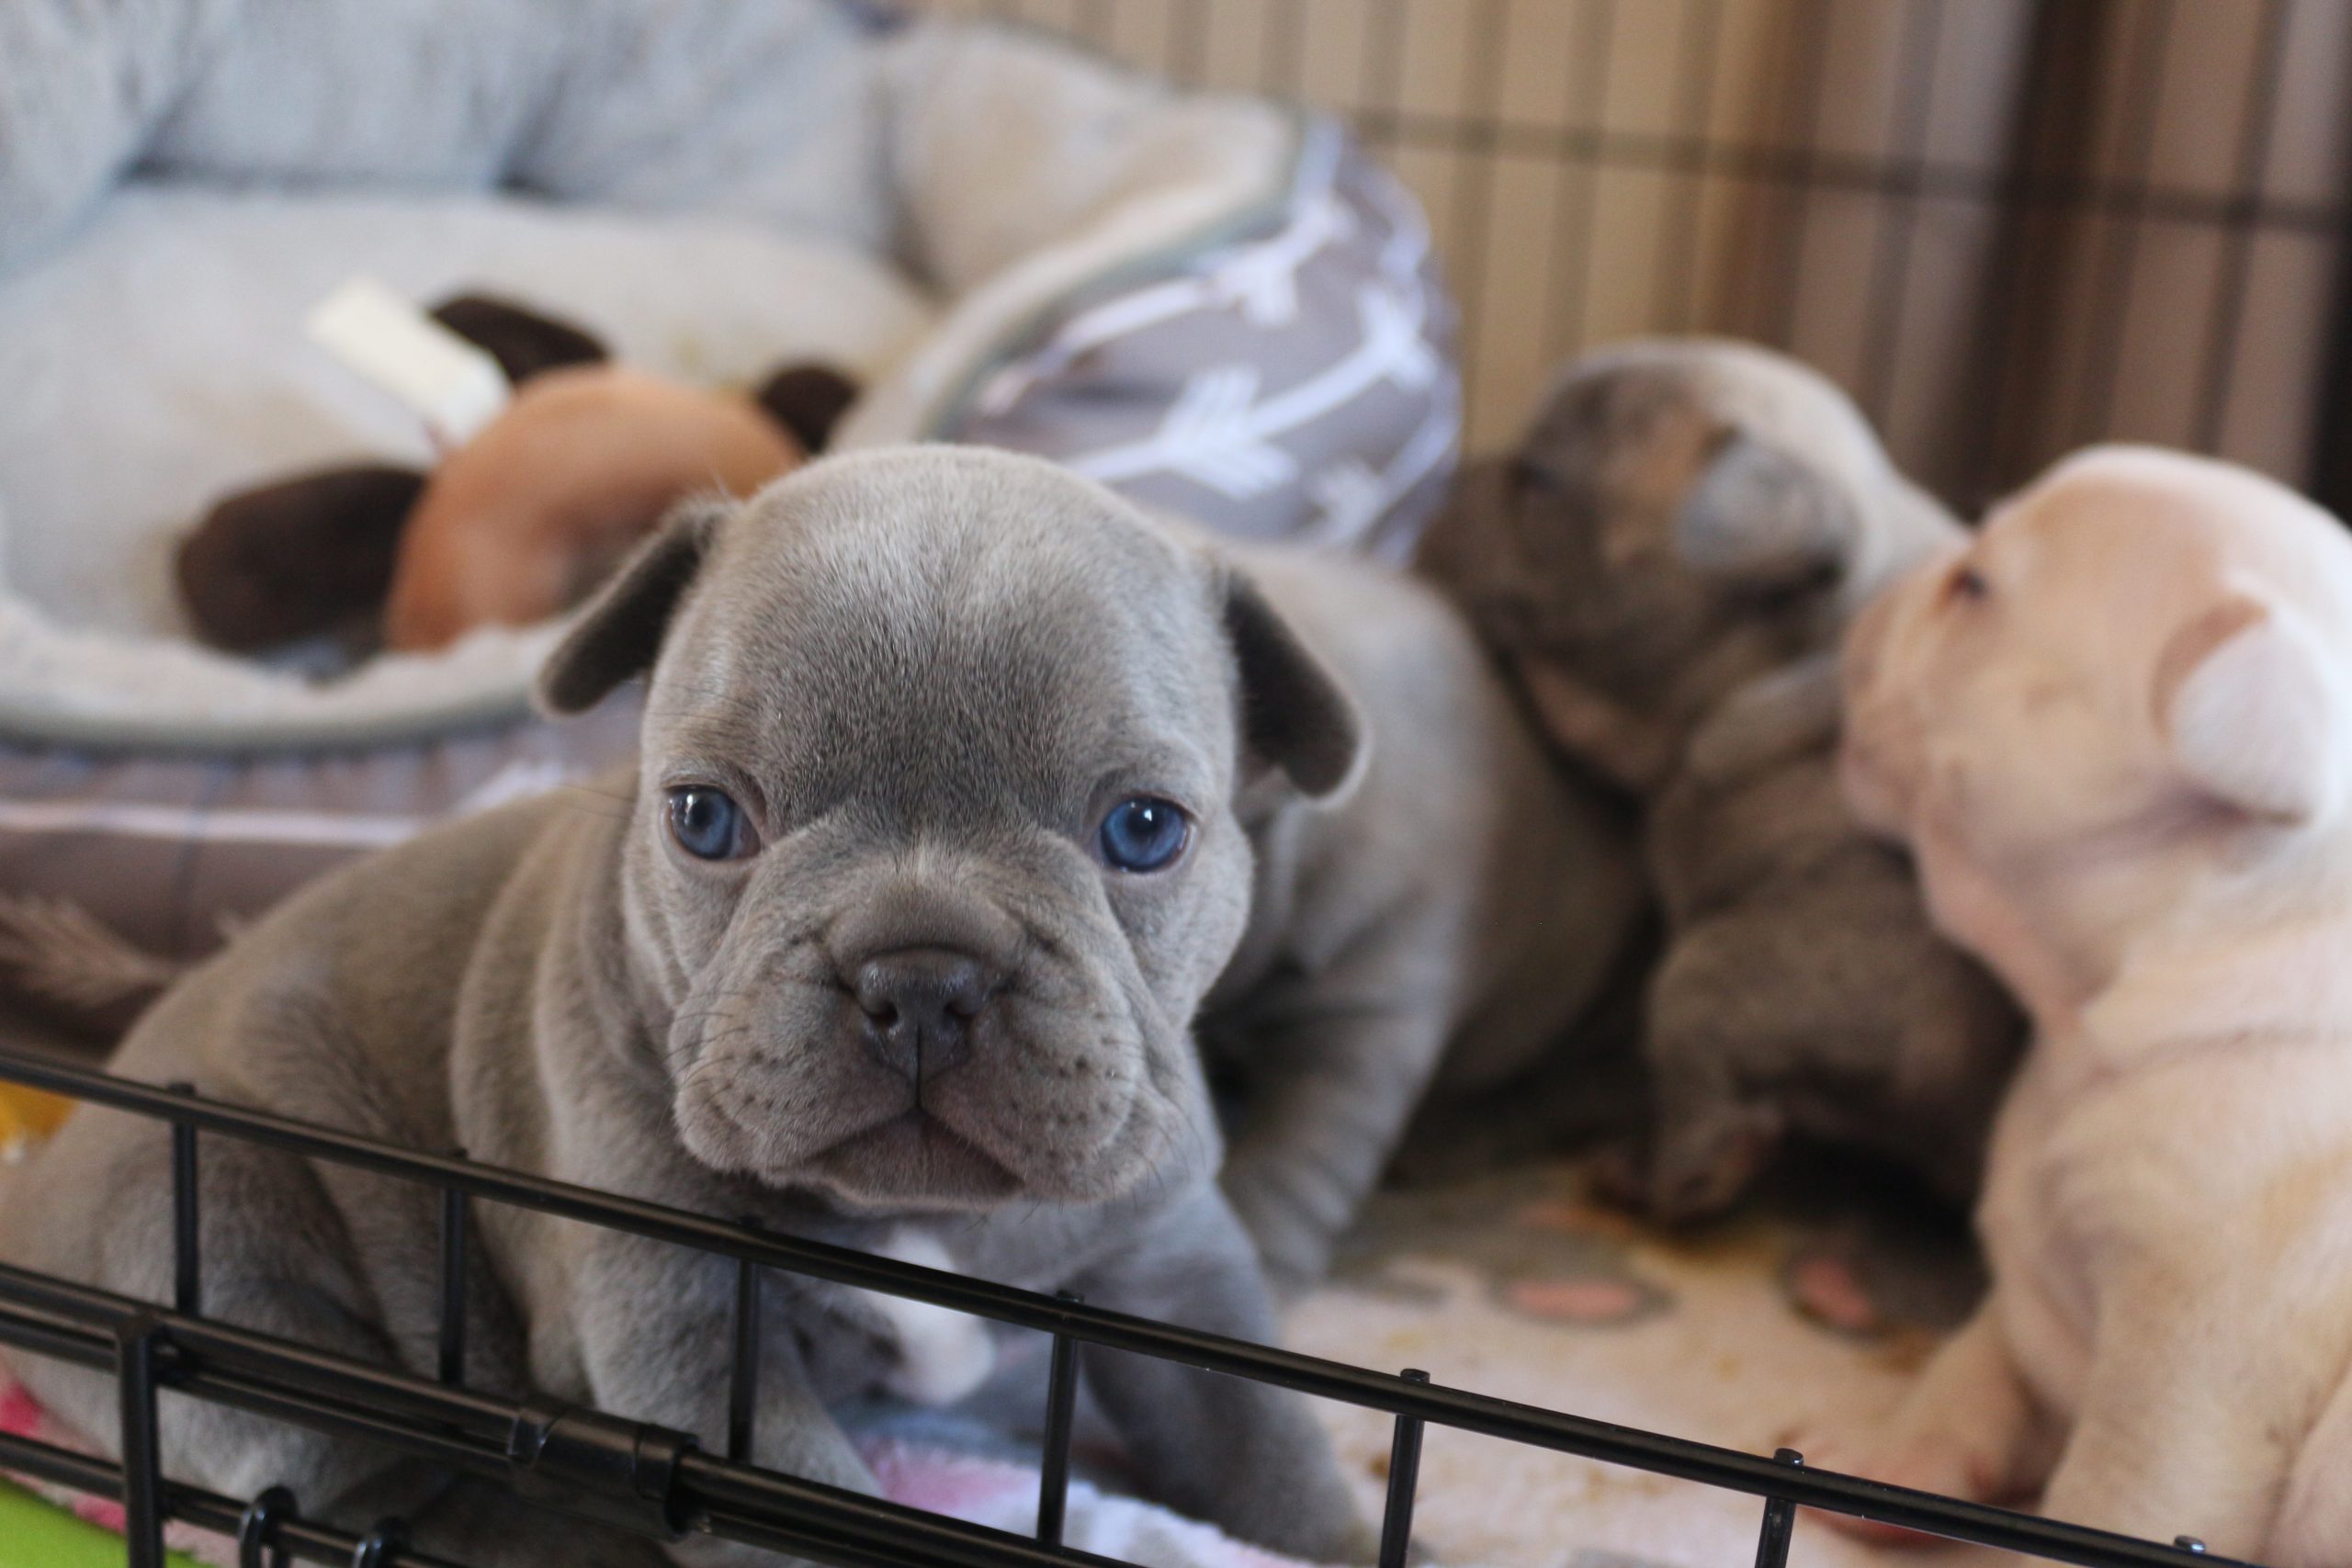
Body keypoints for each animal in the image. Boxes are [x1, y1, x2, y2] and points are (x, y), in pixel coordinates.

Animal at [3, 448, 1466, 1566]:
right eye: (705, 817)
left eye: (1147, 830)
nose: (920, 971)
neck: (919, 1221)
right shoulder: (689, 1335)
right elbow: (809, 1518)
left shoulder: (1171, 1265)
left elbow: (1266, 1447)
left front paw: (1346, 1535)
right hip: (222, 1216)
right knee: (345, 1468)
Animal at [1827, 446, 2352, 1562]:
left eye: (1975, 587)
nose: (1874, 594)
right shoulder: (2040, 1296)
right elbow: (1978, 1359)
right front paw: (1887, 1460)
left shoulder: (2192, 1362)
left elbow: (2113, 1499)